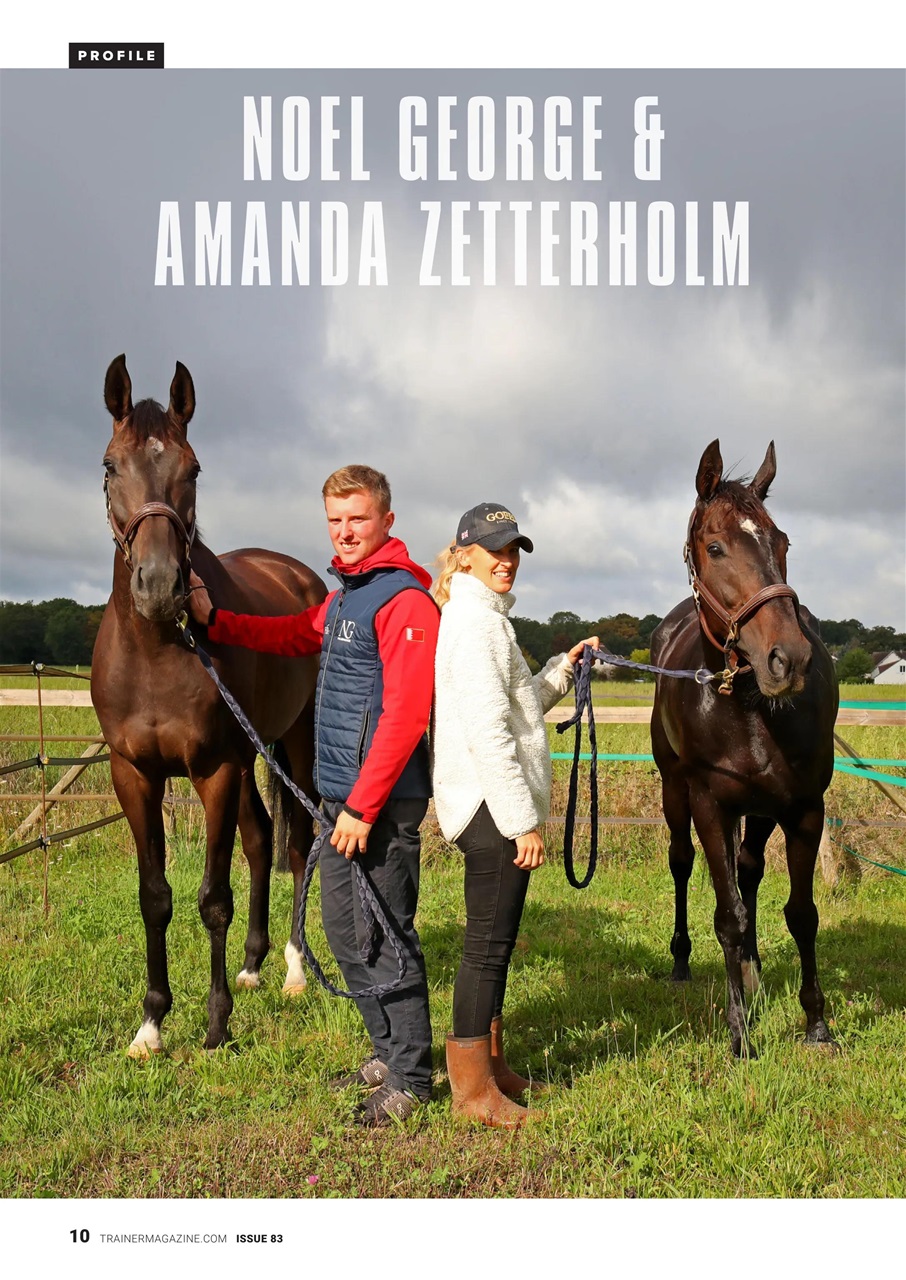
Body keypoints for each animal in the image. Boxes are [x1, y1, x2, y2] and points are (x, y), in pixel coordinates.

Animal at [91, 354, 327, 1056]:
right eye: (110, 465)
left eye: (193, 469)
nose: (160, 586)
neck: (157, 649)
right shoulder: (134, 775)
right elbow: (155, 895)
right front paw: (151, 1022)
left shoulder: (214, 769)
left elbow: (212, 896)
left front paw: (217, 1022)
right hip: (249, 758)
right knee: (260, 838)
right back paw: (251, 965)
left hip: (290, 746)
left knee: (296, 844)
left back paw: (293, 969)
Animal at [650, 440, 838, 1058]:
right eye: (715, 547)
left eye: (782, 543)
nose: (789, 658)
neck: (751, 709)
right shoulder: (710, 803)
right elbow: (727, 914)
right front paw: (739, 1035)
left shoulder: (803, 808)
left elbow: (802, 913)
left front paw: (816, 1023)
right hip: (676, 793)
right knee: (683, 864)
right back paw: (684, 963)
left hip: (761, 811)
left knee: (749, 870)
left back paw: (753, 972)